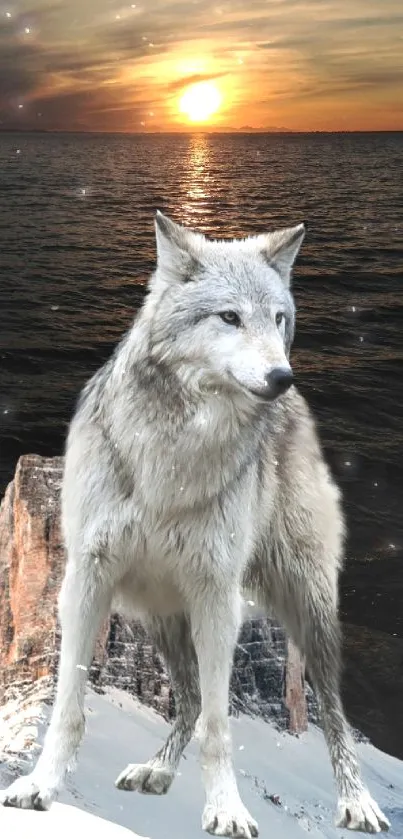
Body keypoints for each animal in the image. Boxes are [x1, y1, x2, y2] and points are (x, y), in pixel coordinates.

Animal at [0, 213, 392, 836]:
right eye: (229, 317)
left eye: (278, 319)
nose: (281, 376)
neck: (174, 455)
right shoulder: (86, 579)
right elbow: (68, 706)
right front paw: (40, 786)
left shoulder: (216, 593)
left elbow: (218, 724)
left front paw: (226, 809)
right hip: (159, 613)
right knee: (184, 700)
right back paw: (156, 770)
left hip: (306, 604)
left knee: (329, 709)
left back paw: (357, 802)